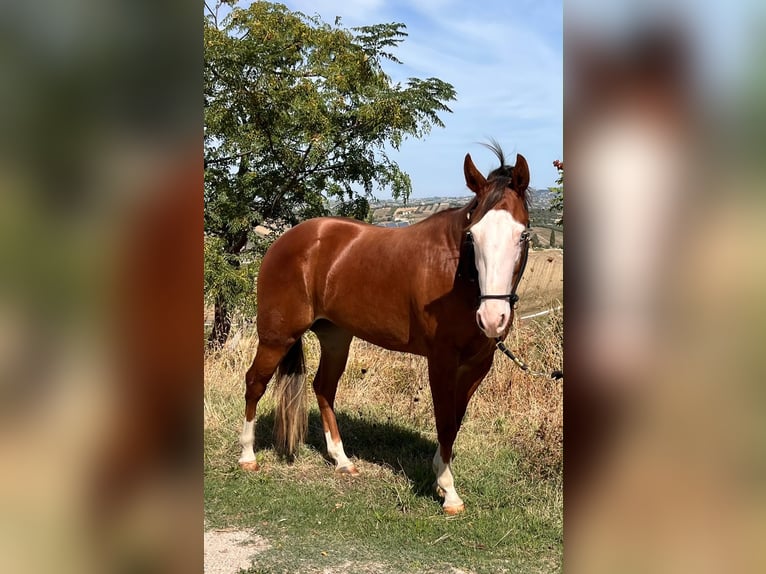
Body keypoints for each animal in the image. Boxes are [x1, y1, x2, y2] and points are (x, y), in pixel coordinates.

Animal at [238, 144, 531, 514]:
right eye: (472, 236)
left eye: (522, 235)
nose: (492, 317)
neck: (458, 272)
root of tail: (285, 240)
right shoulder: (441, 362)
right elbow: (444, 420)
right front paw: (448, 490)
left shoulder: (478, 365)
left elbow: (455, 421)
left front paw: (439, 475)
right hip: (277, 337)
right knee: (255, 383)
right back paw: (247, 456)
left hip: (336, 337)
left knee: (323, 388)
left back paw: (342, 460)